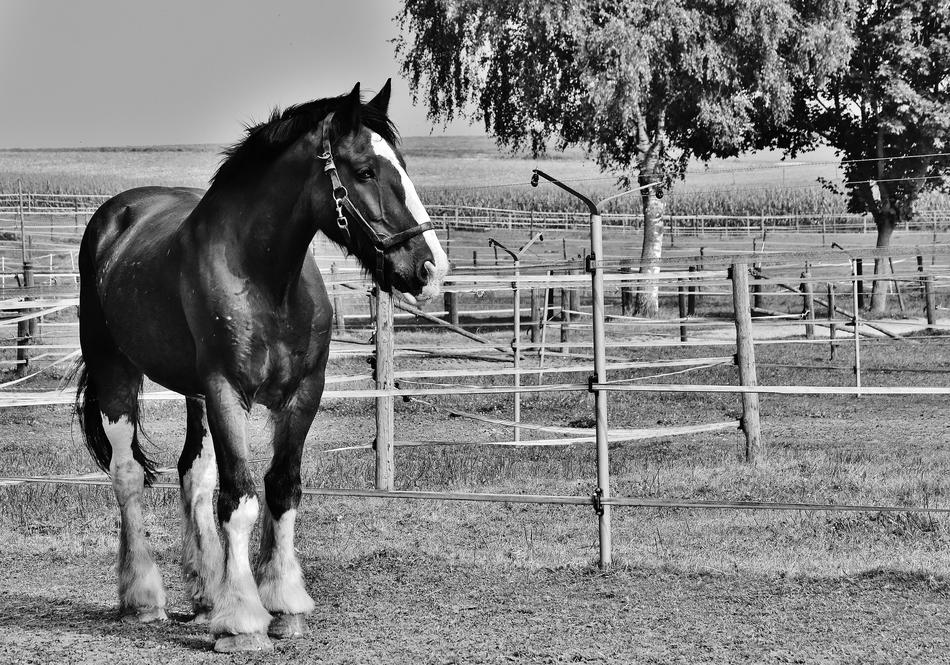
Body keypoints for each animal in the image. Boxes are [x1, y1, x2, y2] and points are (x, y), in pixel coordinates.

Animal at [74, 80, 449, 652]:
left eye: (402, 165)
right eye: (365, 170)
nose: (430, 268)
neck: (267, 280)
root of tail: (115, 217)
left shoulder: (302, 393)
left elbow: (281, 488)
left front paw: (283, 605)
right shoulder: (226, 390)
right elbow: (241, 498)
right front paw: (244, 622)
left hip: (194, 395)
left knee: (193, 474)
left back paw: (206, 594)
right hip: (117, 372)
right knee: (128, 476)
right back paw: (143, 599)